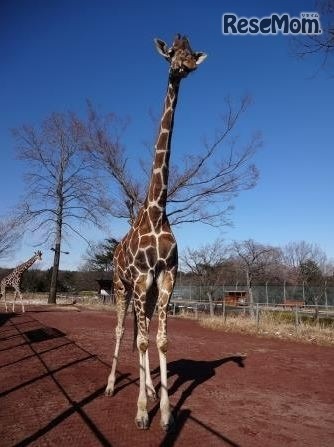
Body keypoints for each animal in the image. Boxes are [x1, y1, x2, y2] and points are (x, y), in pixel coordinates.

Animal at [105, 36, 206, 434]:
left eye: (191, 52)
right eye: (172, 53)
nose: (185, 66)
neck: (156, 211)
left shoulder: (167, 277)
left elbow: (160, 341)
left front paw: (164, 412)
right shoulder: (142, 277)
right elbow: (144, 340)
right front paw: (141, 413)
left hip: (142, 293)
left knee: (139, 334)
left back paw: (148, 387)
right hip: (122, 286)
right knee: (123, 331)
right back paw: (112, 386)